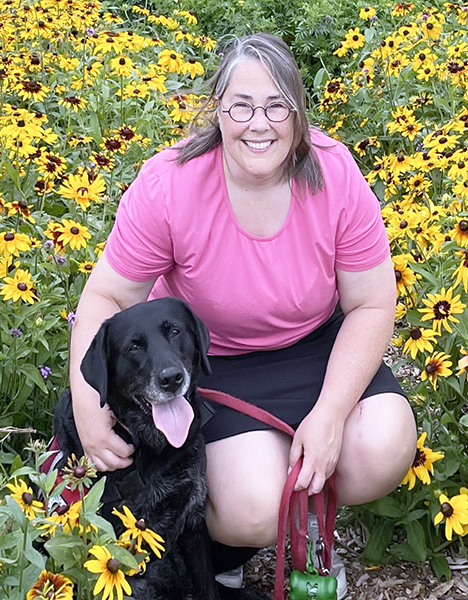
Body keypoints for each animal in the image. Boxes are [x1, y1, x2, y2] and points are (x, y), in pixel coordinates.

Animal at [54, 298, 266, 600]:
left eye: (175, 331)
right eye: (133, 346)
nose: (171, 378)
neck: (154, 450)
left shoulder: (192, 524)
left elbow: (208, 587)